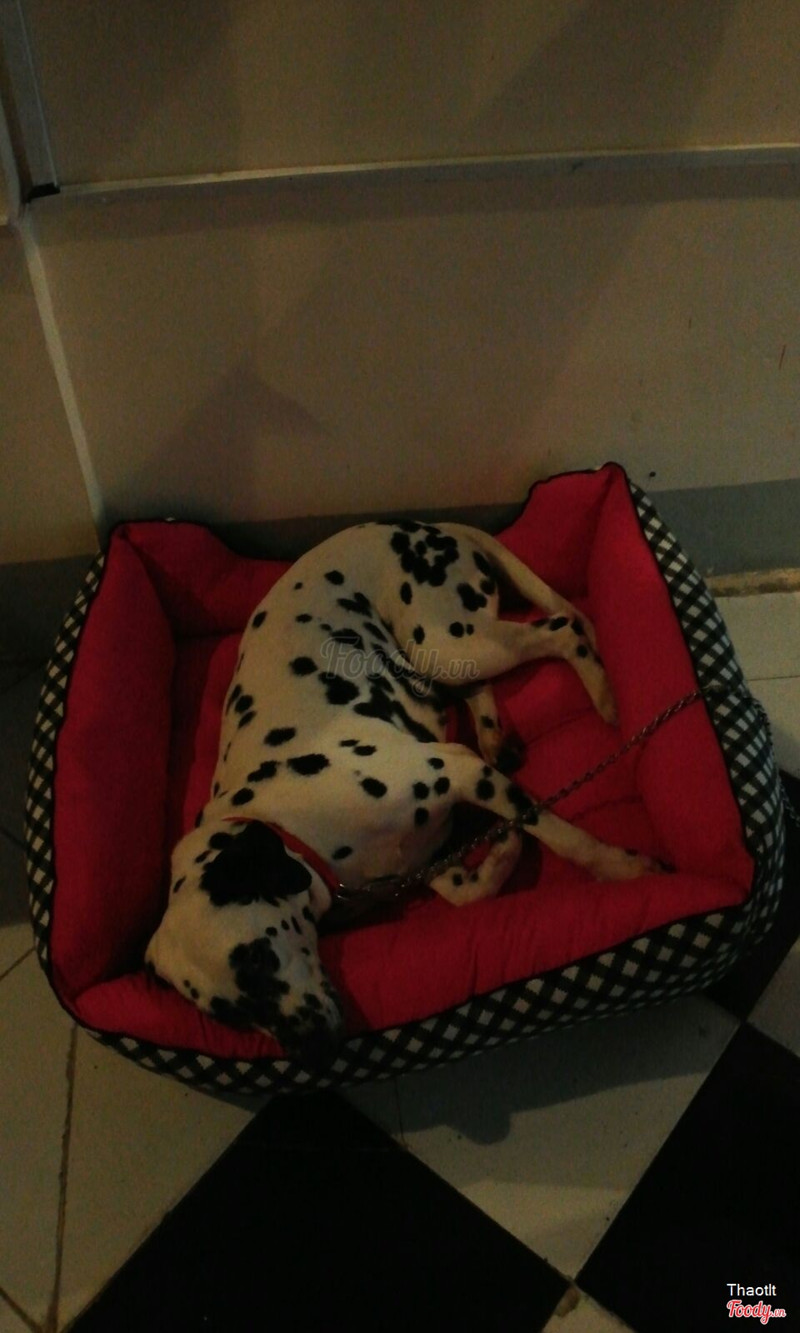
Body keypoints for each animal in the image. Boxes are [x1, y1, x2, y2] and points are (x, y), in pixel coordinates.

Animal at [145, 521, 661, 1066]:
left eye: (257, 960)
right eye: (228, 1014)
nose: (313, 1050)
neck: (291, 821)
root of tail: (414, 524)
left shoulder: (458, 771)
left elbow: (561, 835)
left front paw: (622, 869)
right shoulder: (425, 862)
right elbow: (470, 893)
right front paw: (503, 850)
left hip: (451, 643)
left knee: (562, 629)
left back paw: (602, 693)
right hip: (448, 659)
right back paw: (496, 736)